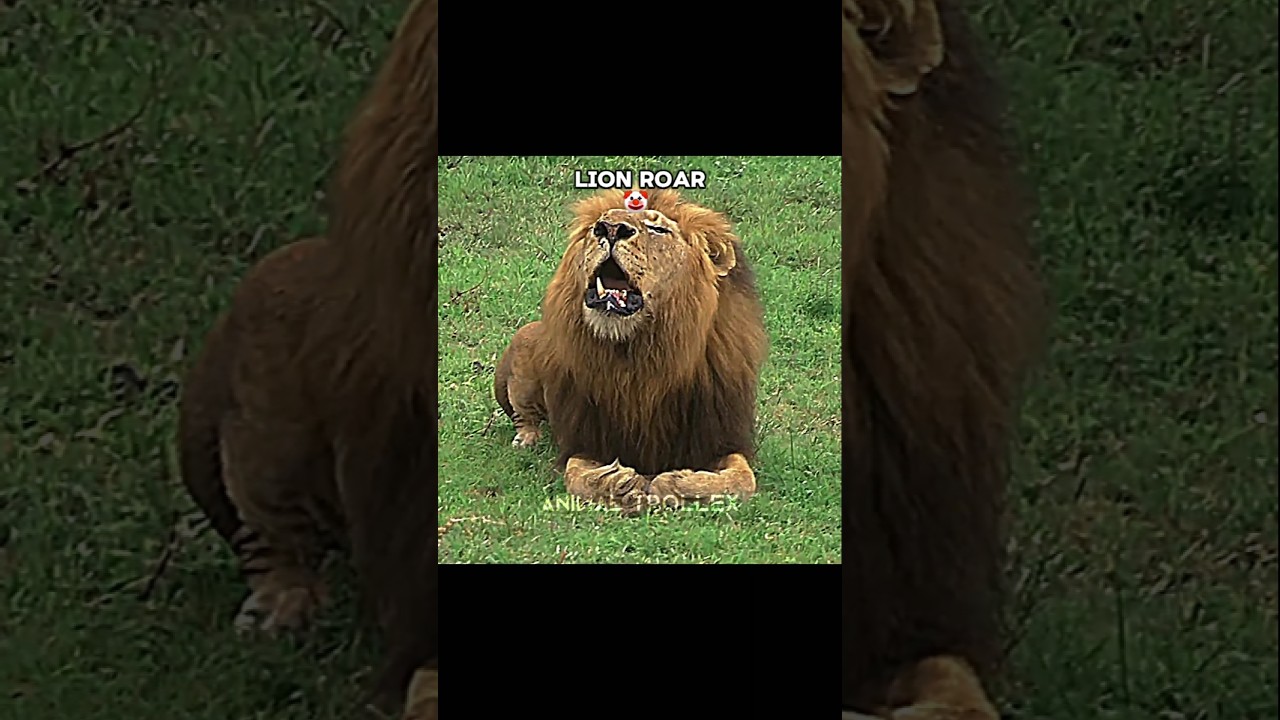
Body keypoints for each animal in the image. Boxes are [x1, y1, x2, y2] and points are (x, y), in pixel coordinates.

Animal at [493, 189, 768, 511]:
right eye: (597, 225)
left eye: (658, 229)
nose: (610, 229)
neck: (639, 354)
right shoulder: (587, 440)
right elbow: (577, 476)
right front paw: (618, 483)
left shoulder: (720, 436)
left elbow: (741, 479)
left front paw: (676, 483)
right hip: (523, 347)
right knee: (523, 415)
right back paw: (527, 438)